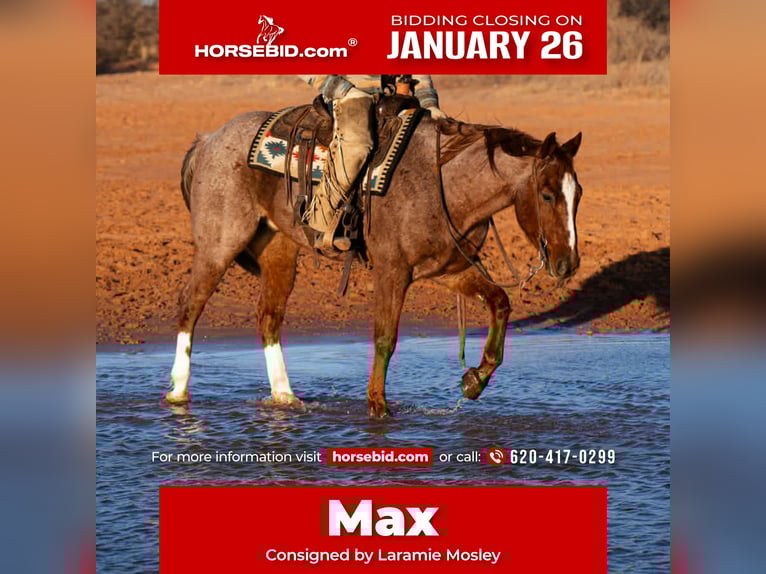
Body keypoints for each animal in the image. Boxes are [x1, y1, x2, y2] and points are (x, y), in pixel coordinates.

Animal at [165, 106, 583, 417]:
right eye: (547, 195)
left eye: (576, 193)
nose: (568, 264)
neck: (443, 183)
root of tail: (208, 140)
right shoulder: (392, 270)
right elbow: (385, 339)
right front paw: (378, 408)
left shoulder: (450, 269)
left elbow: (500, 303)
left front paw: (474, 381)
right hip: (220, 243)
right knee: (190, 304)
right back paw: (177, 394)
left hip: (279, 250)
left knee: (269, 317)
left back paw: (286, 398)